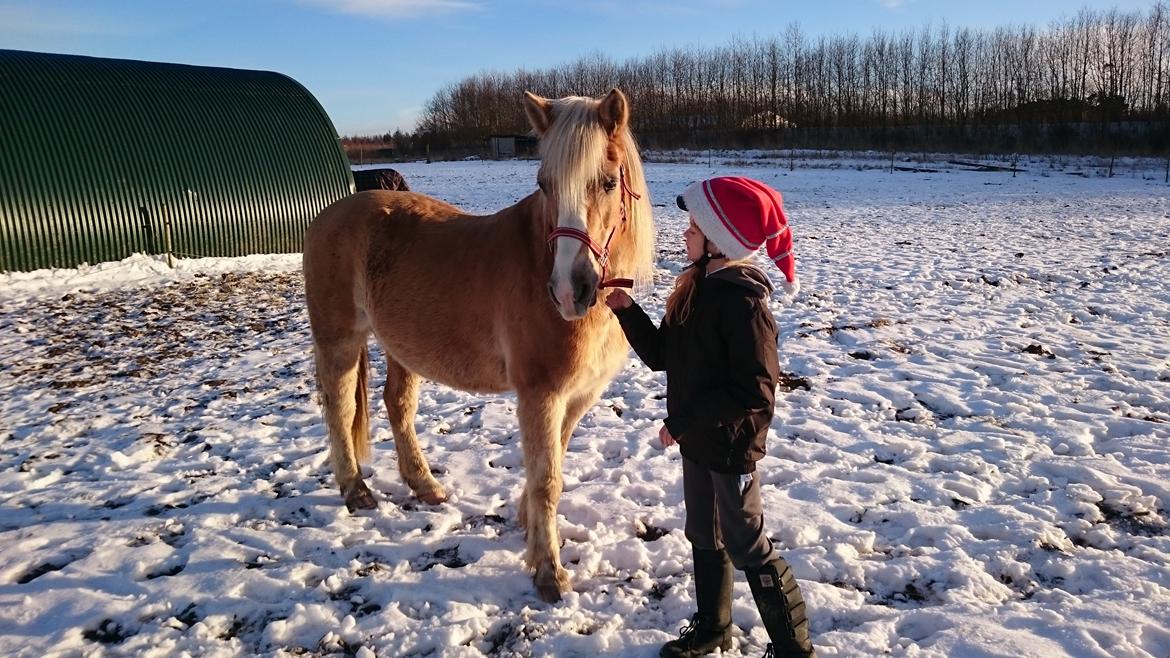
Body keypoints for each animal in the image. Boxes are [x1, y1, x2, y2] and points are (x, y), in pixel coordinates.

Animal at [304, 89, 659, 604]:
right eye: (544, 184)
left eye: (609, 182)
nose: (570, 290)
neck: (538, 263)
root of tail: (331, 212)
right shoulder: (541, 394)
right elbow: (548, 479)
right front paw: (548, 571)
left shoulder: (577, 397)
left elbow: (551, 463)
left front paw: (528, 527)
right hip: (340, 339)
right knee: (339, 407)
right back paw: (356, 491)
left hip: (401, 348)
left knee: (397, 404)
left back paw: (425, 486)